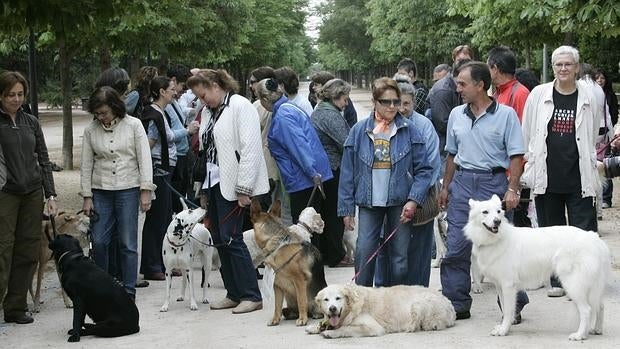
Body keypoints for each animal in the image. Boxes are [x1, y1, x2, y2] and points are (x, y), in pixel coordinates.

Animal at [251, 198, 330, 326]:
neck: (278, 244)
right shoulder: (277, 285)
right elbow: (277, 305)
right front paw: (275, 319)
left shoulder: (299, 280)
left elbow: (301, 300)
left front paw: (302, 319)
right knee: (286, 310)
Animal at [306, 282, 456, 338]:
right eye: (326, 299)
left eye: (338, 298)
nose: (332, 309)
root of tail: (449, 302)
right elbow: (325, 323)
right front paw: (315, 327)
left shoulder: (373, 327)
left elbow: (347, 328)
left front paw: (331, 332)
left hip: (418, 304)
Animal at [464, 196, 612, 340]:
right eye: (485, 212)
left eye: (498, 212)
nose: (497, 222)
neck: (497, 238)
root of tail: (594, 238)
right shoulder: (500, 286)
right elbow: (505, 309)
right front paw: (503, 327)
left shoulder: (508, 286)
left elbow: (508, 311)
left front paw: (504, 330)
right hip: (592, 287)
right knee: (600, 306)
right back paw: (596, 330)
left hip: (573, 285)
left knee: (587, 310)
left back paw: (579, 335)